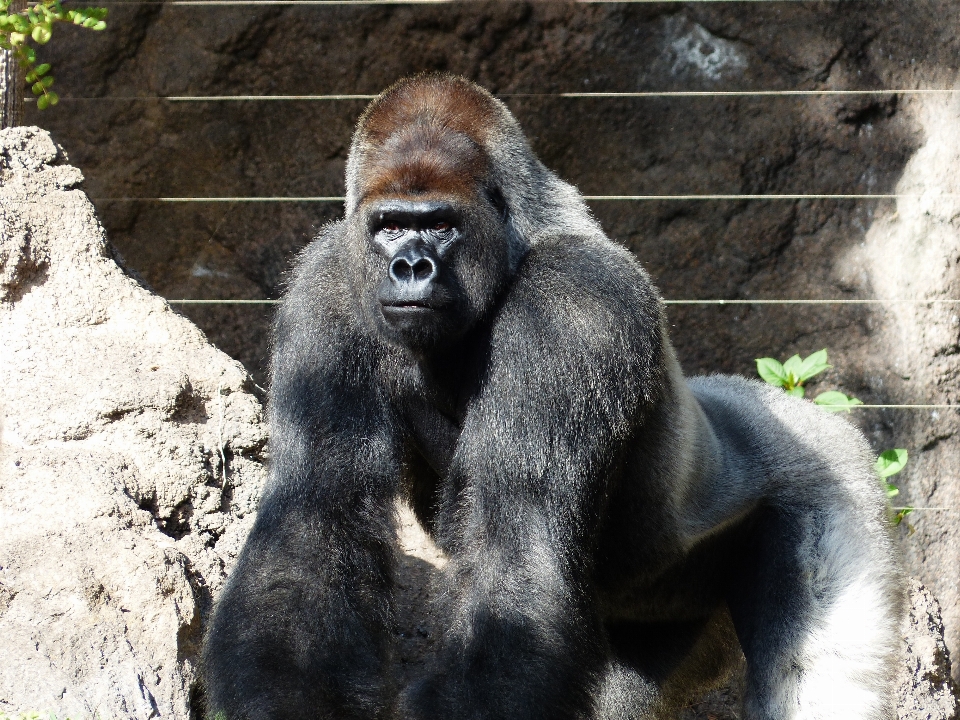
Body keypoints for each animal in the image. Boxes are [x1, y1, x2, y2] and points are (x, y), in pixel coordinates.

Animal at [202, 74, 900, 720]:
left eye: (441, 226)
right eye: (390, 227)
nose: (410, 267)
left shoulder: (576, 304)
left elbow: (517, 554)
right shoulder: (325, 288)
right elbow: (313, 521)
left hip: (832, 481)